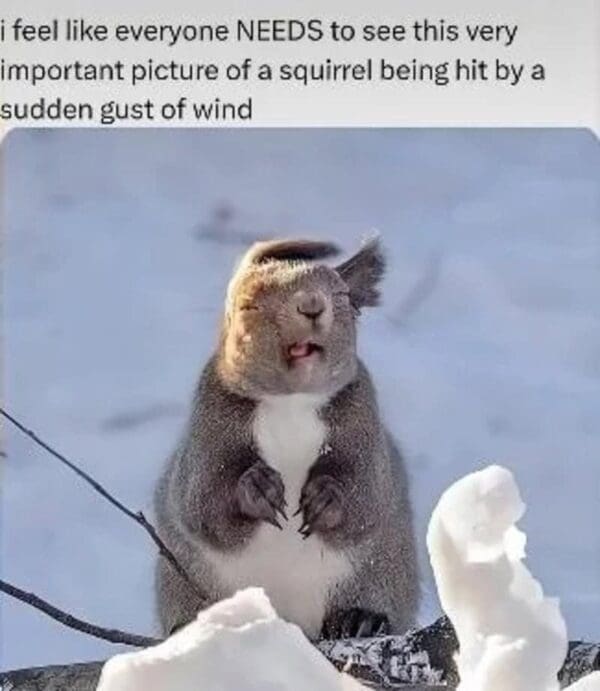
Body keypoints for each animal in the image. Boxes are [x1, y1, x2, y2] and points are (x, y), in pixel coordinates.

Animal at [154, 237, 419, 640]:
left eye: (341, 295)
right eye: (247, 304)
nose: (311, 305)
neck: (291, 403)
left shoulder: (364, 427)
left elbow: (368, 497)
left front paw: (327, 496)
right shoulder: (207, 430)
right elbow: (202, 504)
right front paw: (256, 487)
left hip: (382, 574)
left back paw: (361, 619)